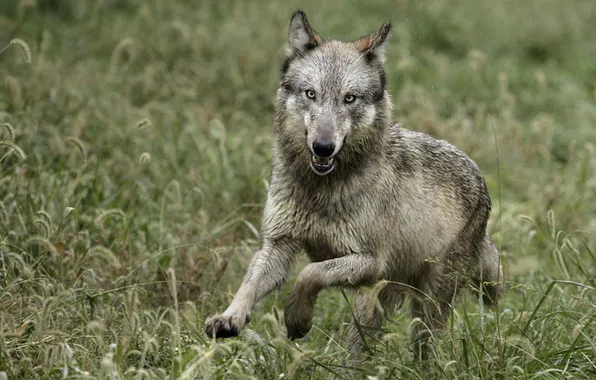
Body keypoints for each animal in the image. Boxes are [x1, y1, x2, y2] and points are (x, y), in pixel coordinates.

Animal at [205, 9, 502, 360]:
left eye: (349, 99)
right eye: (311, 94)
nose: (323, 147)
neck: (320, 189)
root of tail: (482, 185)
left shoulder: (369, 262)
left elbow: (309, 274)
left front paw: (297, 320)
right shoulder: (279, 245)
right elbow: (249, 285)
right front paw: (229, 318)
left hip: (422, 306)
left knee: (424, 353)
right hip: (371, 307)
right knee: (361, 353)